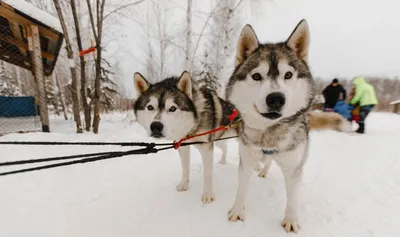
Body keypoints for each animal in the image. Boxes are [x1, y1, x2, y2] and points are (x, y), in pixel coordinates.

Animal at [133, 71, 239, 204]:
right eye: (150, 107)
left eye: (173, 108)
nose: (156, 126)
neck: (194, 121)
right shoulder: (183, 146)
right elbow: (185, 167)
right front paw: (184, 184)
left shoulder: (207, 149)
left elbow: (207, 174)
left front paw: (207, 194)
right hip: (218, 139)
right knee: (225, 148)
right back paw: (223, 161)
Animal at [223, 19, 314, 233]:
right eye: (256, 76)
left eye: (288, 74)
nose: (276, 99)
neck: (268, 134)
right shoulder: (246, 158)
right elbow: (241, 188)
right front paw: (237, 211)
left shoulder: (294, 166)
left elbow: (293, 198)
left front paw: (291, 219)